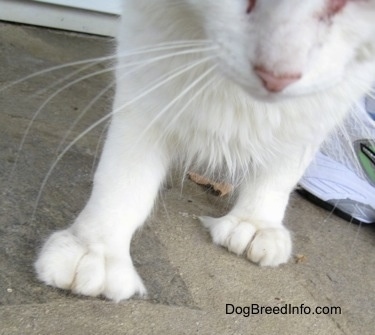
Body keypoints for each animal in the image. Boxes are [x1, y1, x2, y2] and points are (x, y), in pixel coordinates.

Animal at [34, 0, 375, 304]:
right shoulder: (149, 55)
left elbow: (283, 167)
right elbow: (125, 177)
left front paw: (255, 221)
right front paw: (95, 248)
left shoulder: (332, 94)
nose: (277, 75)